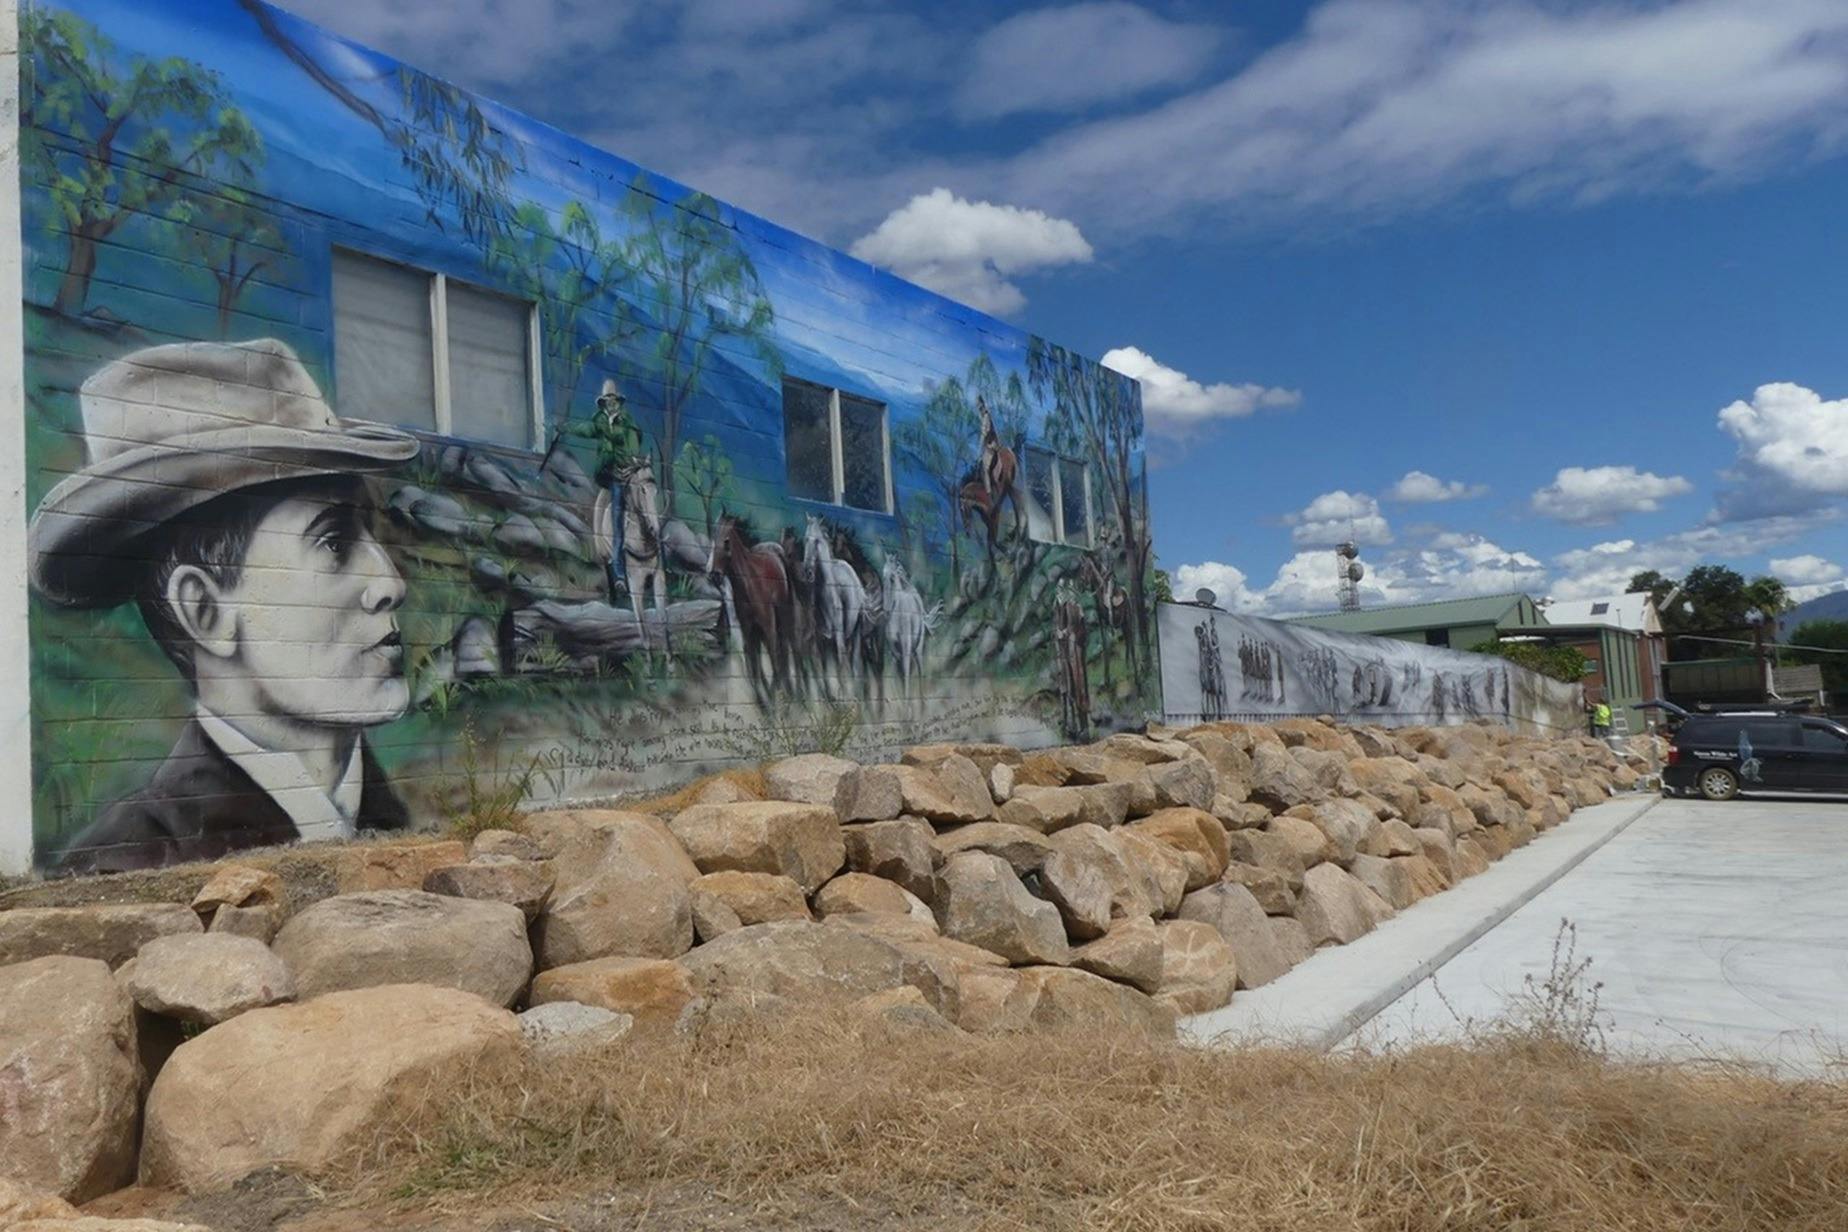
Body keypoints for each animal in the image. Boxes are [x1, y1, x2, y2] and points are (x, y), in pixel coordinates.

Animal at [705, 513, 794, 701]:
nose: (713, 574)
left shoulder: (768, 627)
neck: (749, 585)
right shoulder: (748, 630)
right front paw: (763, 701)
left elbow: (773, 661)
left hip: (779, 622)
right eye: (712, 538)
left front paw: (775, 699)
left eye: (726, 541)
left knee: (781, 653)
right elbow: (753, 667)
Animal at [802, 513, 864, 694]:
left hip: (854, 634)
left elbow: (842, 671)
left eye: (817, 541)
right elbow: (820, 673)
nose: (807, 571)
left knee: (853, 667)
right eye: (806, 539)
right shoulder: (818, 640)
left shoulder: (838, 638)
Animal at [879, 557, 938, 694]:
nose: (886, 610)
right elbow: (896, 676)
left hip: (917, 648)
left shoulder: (906, 648)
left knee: (920, 671)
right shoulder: (894, 652)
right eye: (883, 575)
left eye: (892, 577)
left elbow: (906, 675)